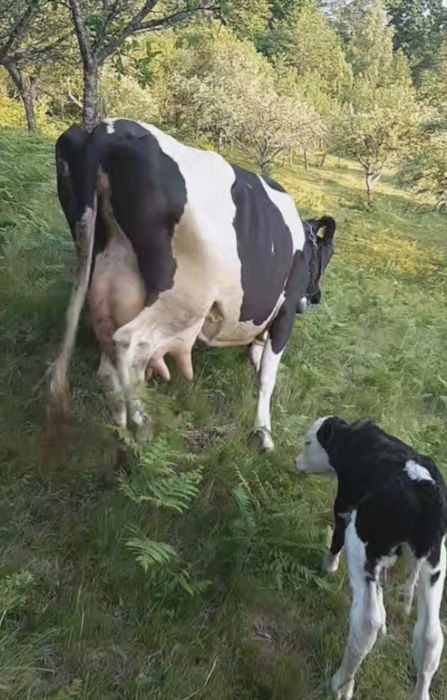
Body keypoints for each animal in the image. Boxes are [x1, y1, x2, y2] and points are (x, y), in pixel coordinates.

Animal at [49, 118, 336, 451]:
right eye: (327, 255)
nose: (315, 297)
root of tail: (109, 130)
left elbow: (257, 361)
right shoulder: (285, 312)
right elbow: (267, 376)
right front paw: (263, 434)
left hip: (108, 275)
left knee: (110, 365)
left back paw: (123, 434)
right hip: (180, 297)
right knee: (128, 343)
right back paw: (142, 425)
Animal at [296, 416, 447, 700]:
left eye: (308, 442)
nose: (296, 462)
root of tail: (424, 490)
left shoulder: (344, 506)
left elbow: (336, 541)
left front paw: (326, 569)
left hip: (362, 539)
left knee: (367, 621)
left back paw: (341, 684)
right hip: (435, 565)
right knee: (430, 636)